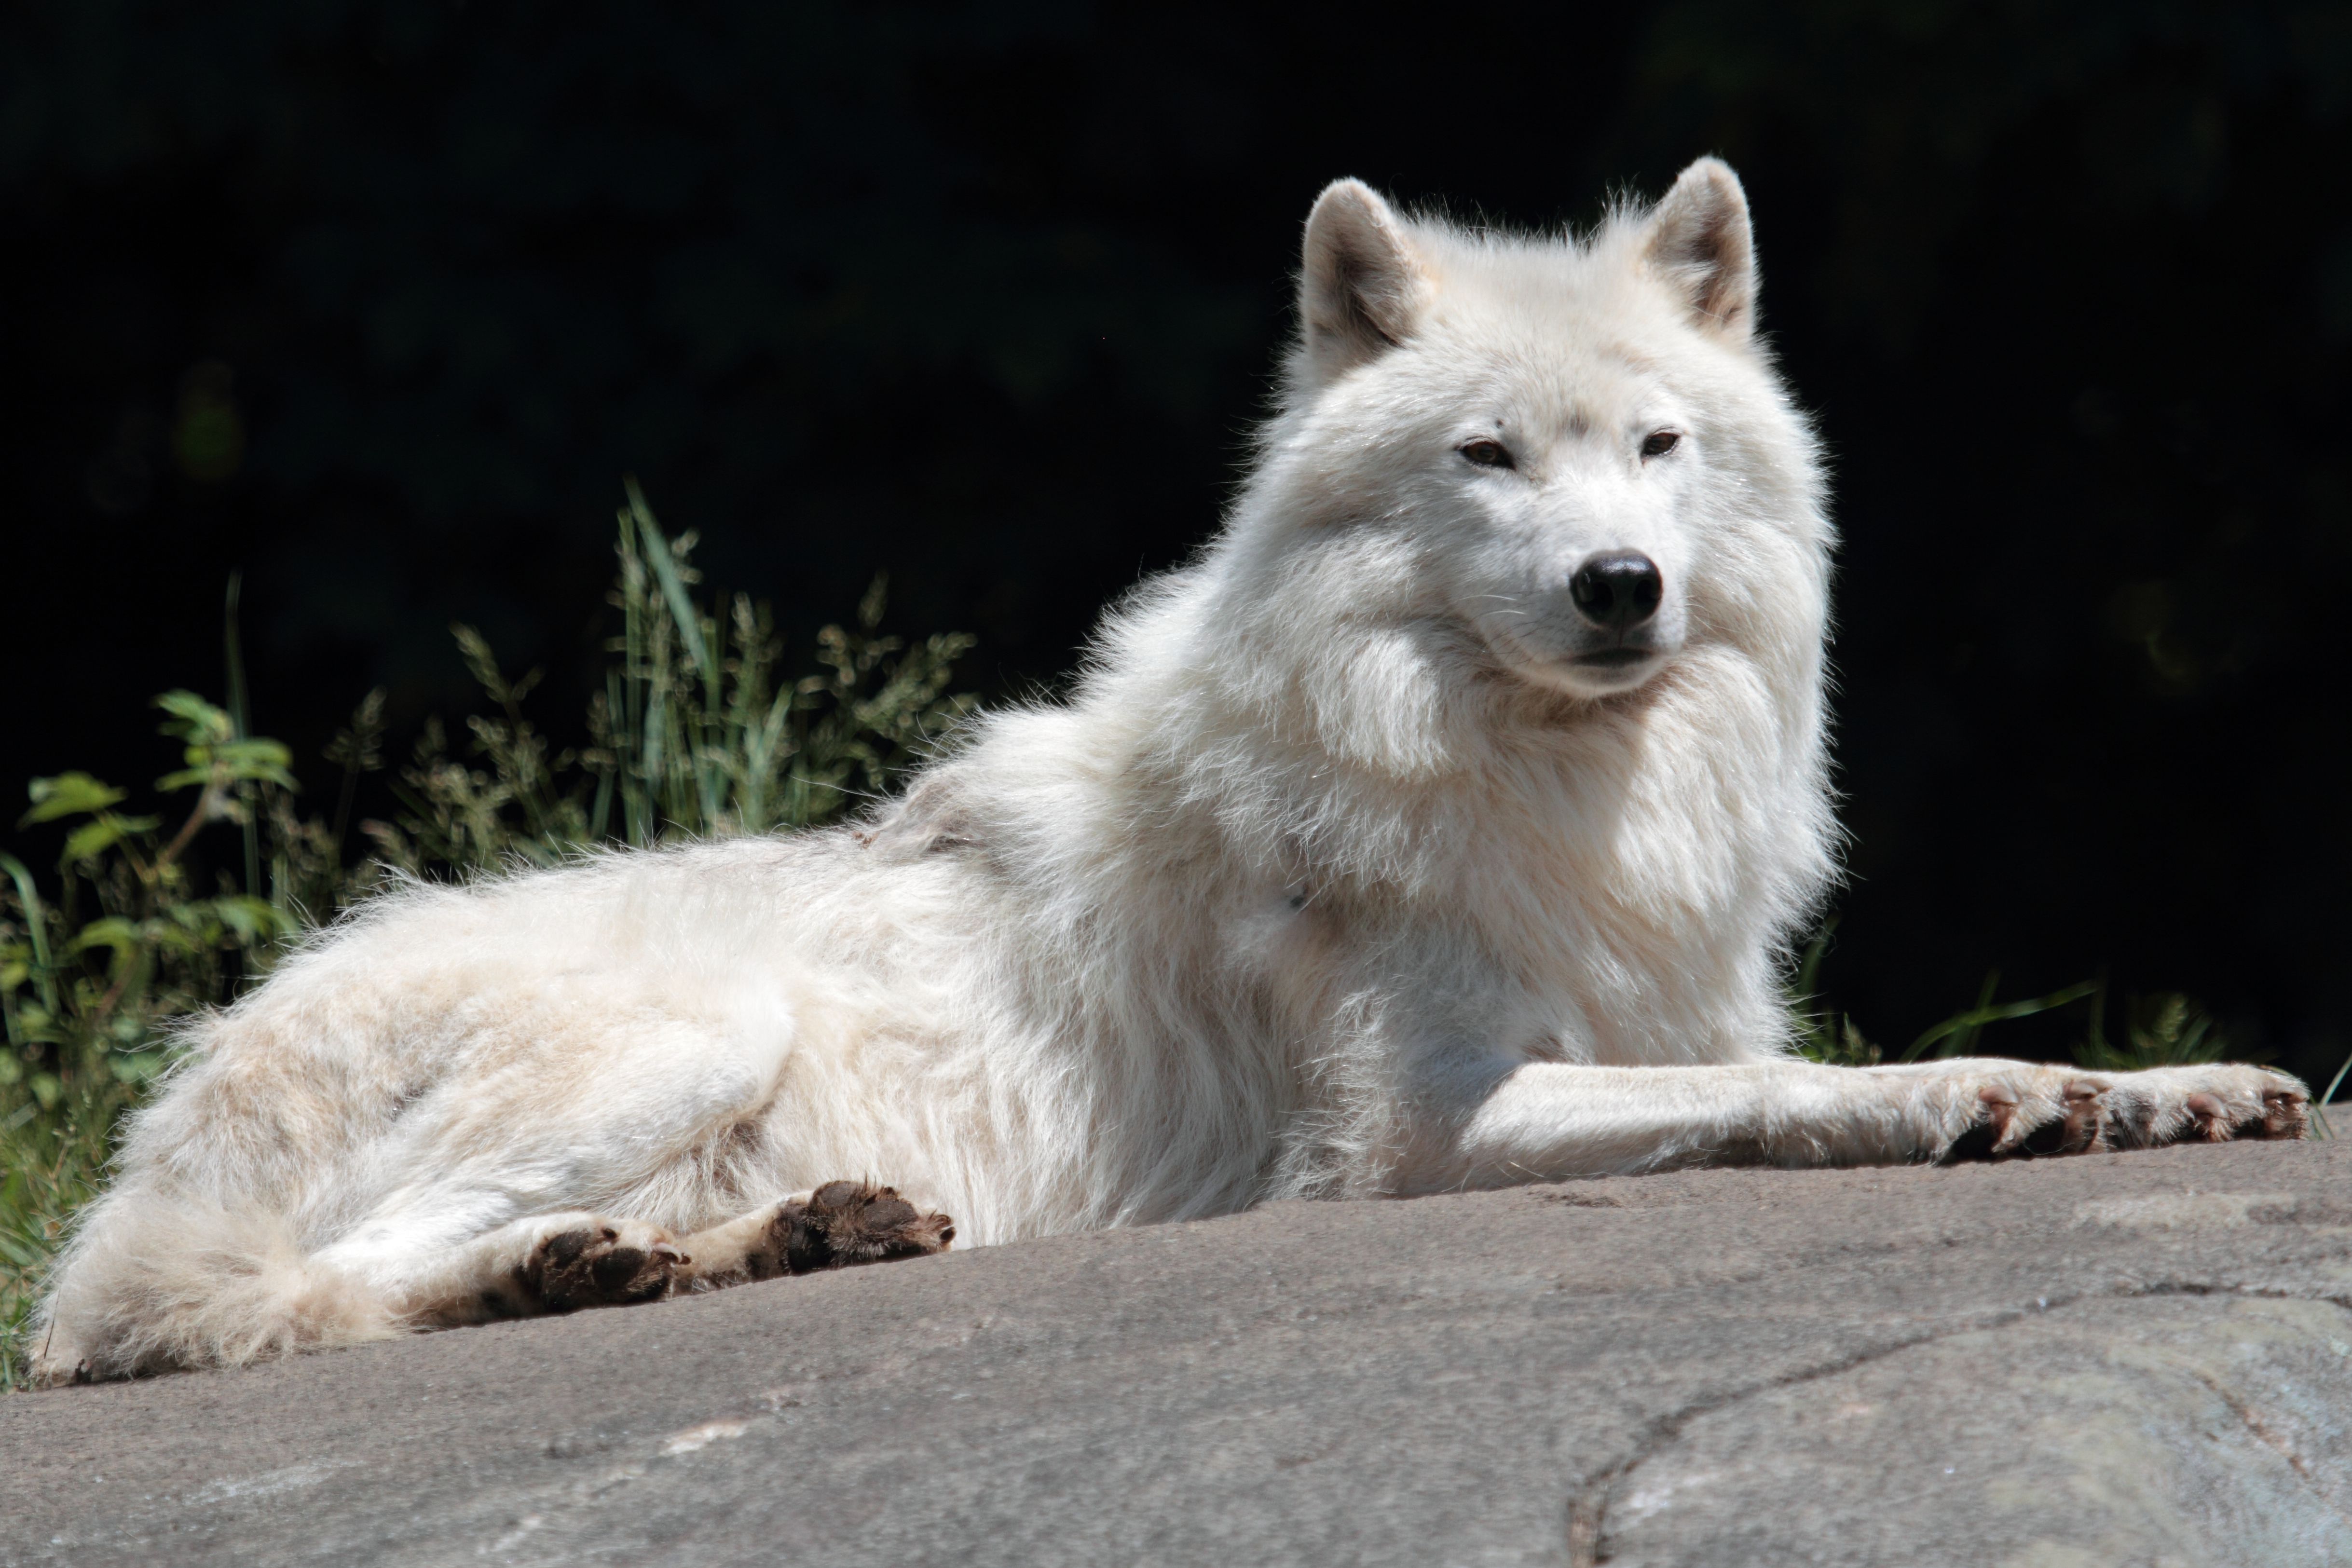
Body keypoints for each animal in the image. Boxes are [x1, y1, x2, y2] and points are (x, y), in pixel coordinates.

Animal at [33, 158, 2308, 1384]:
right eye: (1489, 457)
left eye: (1657, 446)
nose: (1621, 585)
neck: (1543, 790)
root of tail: (161, 1136)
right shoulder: (1409, 1136)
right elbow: (1796, 1091)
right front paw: (1985, 1101)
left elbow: (1875, 1060)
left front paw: (2161, 1093)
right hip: (690, 1031)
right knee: (314, 1290)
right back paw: (572, 1269)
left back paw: (774, 1246)